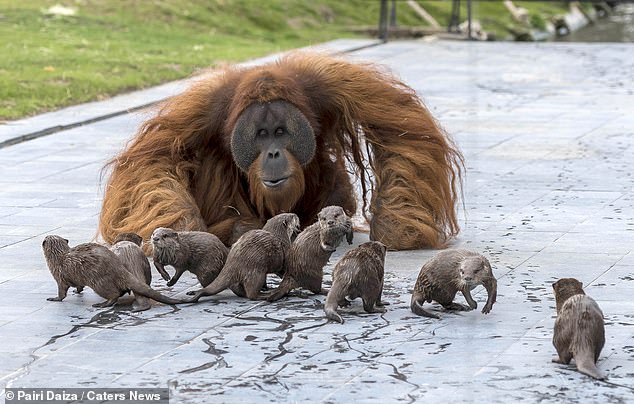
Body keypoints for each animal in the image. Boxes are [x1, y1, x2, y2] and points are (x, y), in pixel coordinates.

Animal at [41, 235, 184, 308]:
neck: (58, 257)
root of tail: (119, 268)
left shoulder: (59, 276)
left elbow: (62, 292)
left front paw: (55, 298)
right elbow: (79, 286)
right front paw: (77, 291)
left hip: (98, 282)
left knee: (113, 295)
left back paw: (102, 304)